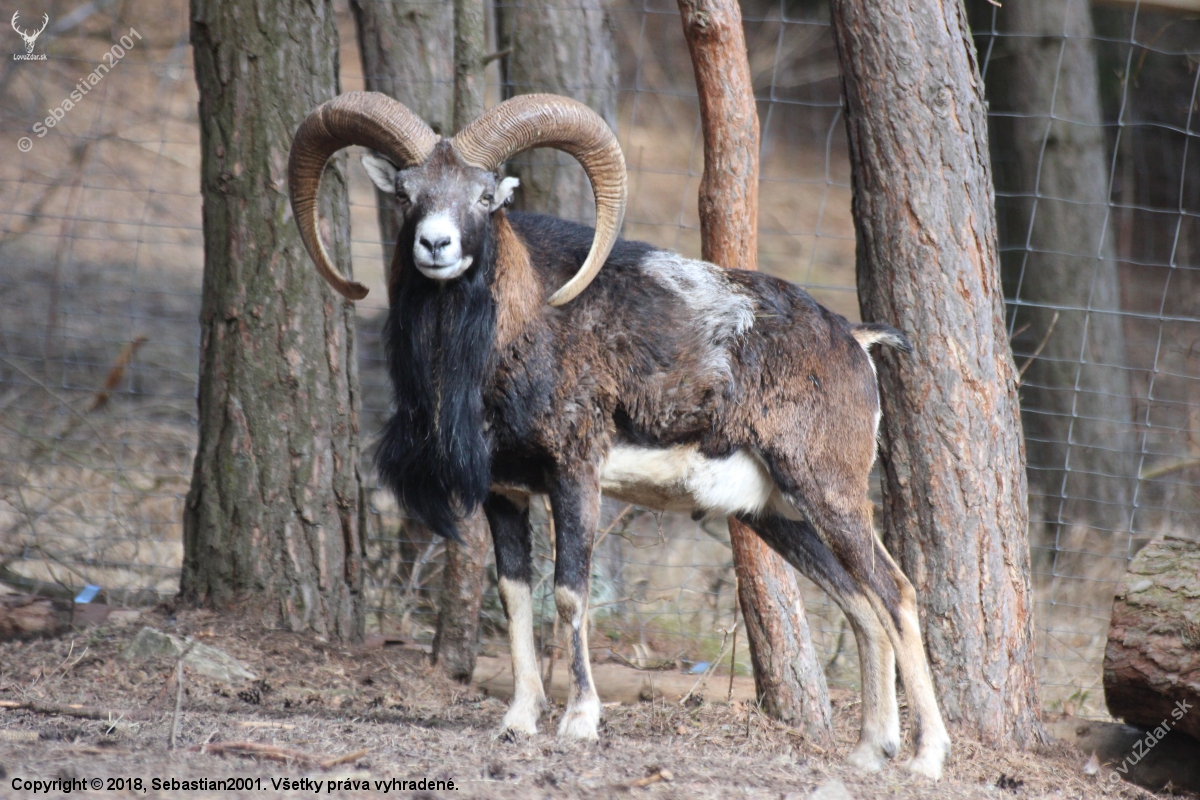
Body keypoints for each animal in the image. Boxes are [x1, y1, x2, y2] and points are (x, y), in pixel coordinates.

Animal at [287, 91, 951, 779]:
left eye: (485, 196)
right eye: (406, 194)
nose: (435, 244)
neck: (506, 342)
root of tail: (855, 340)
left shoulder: (574, 475)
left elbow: (570, 594)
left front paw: (579, 723)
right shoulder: (505, 494)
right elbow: (515, 596)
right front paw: (517, 722)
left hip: (828, 494)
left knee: (896, 595)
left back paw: (925, 759)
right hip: (777, 517)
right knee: (861, 607)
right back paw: (870, 753)